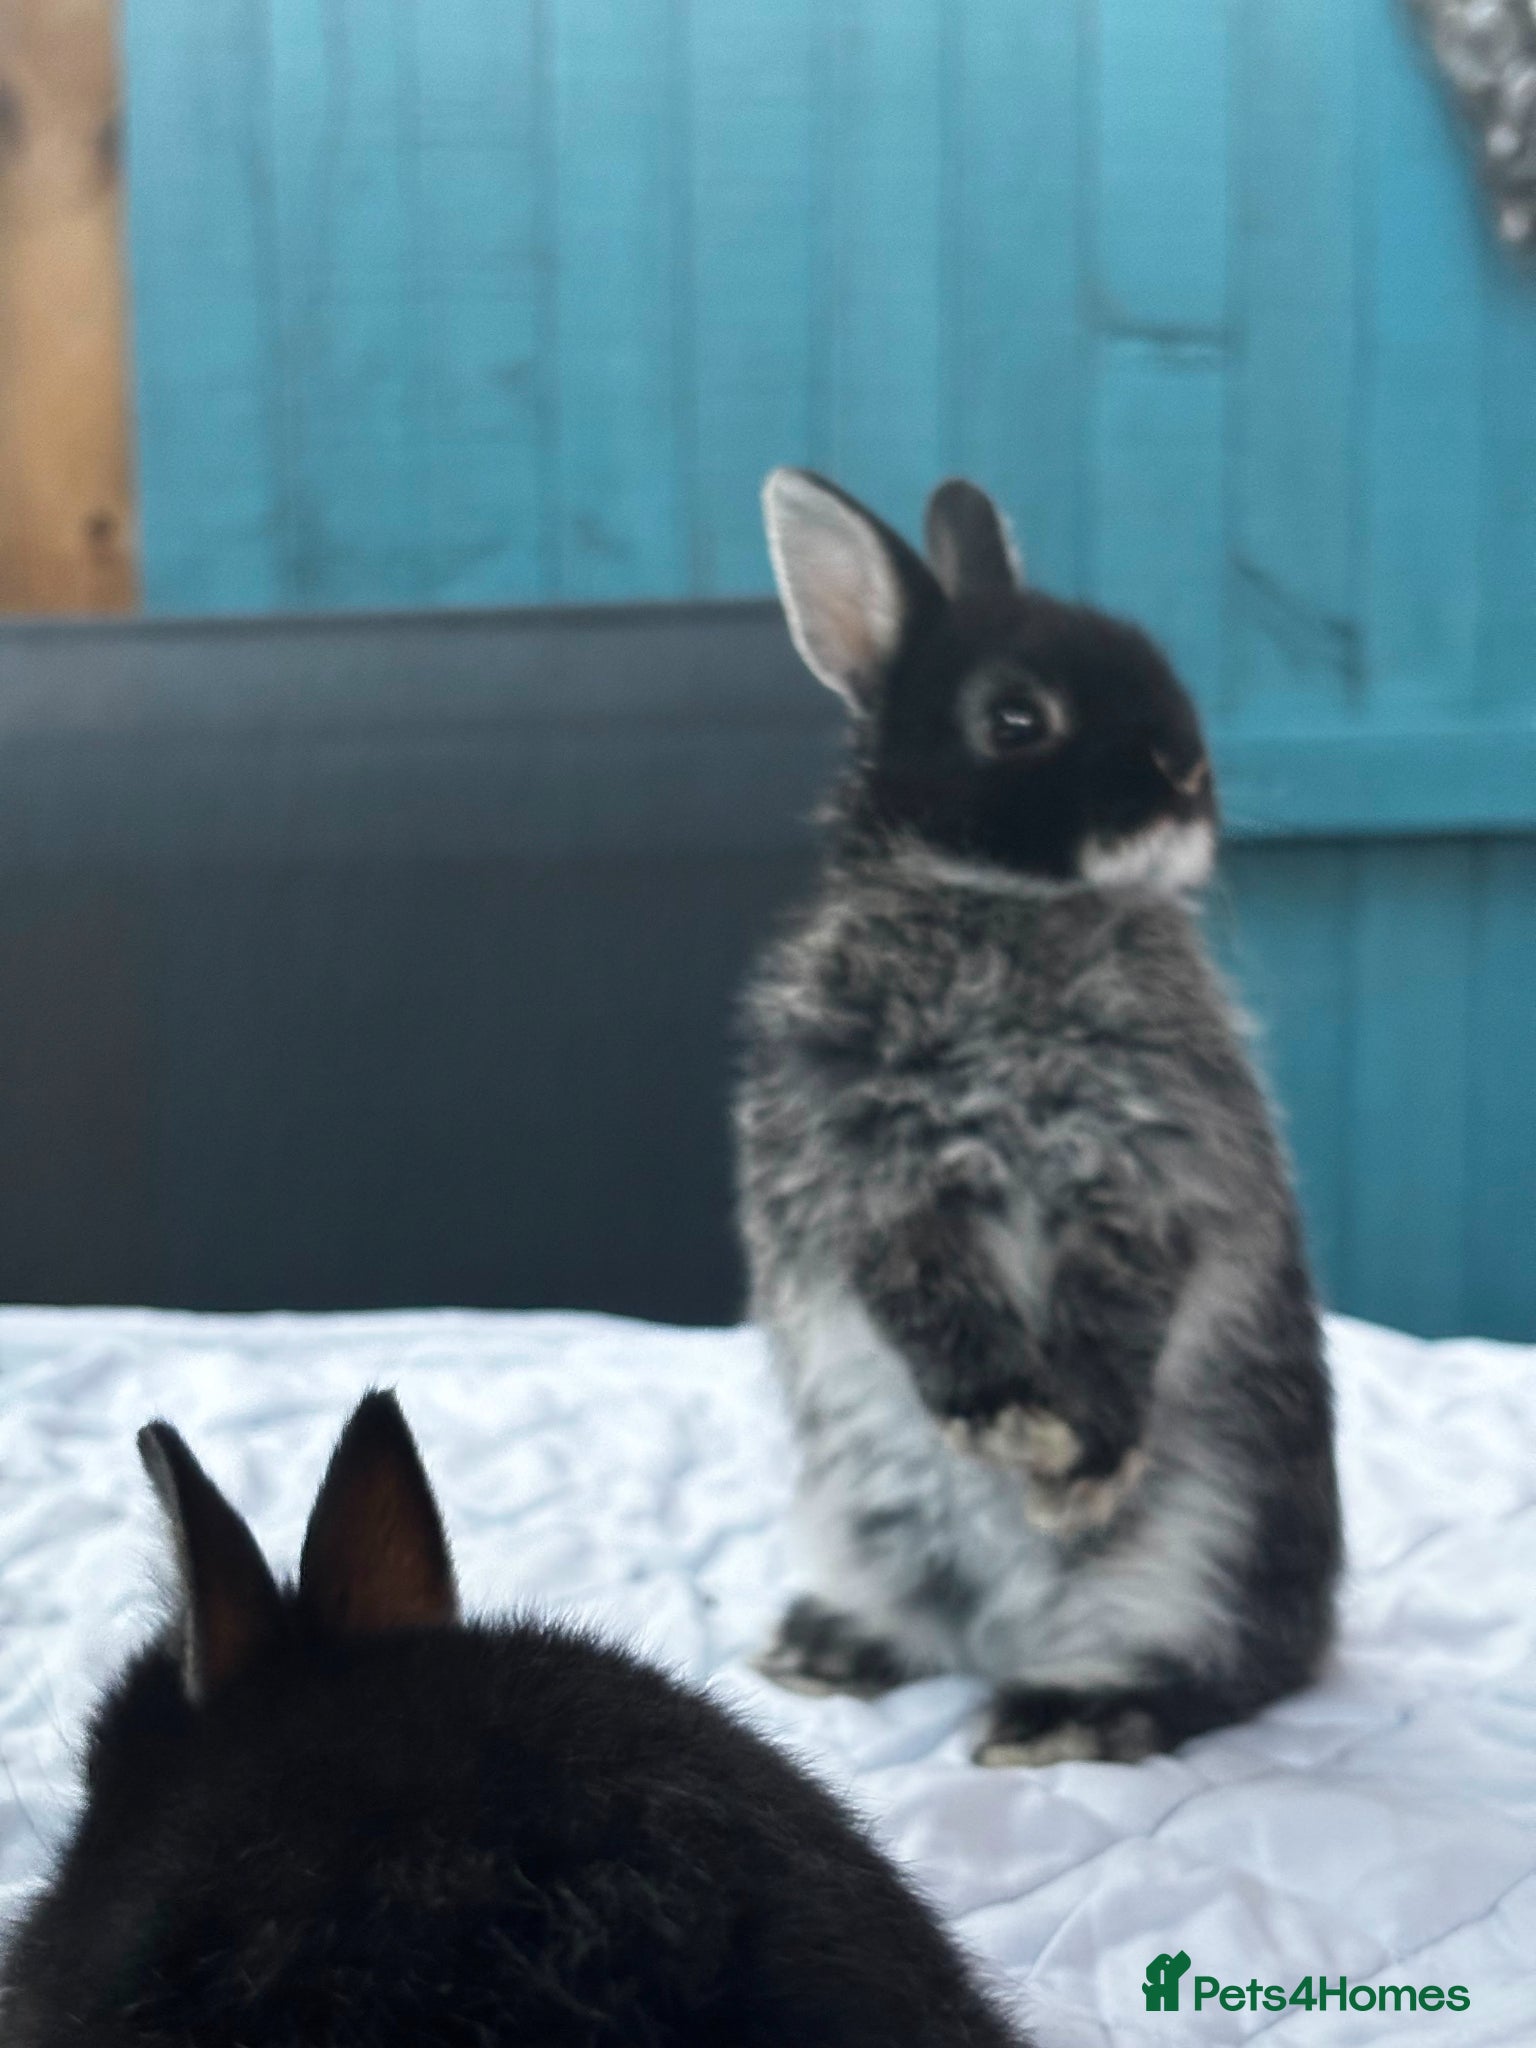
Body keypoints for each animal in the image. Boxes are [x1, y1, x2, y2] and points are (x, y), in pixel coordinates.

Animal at [735, 468, 1341, 1766]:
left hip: (1216, 1541)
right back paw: (824, 1651)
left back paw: (1062, 1713)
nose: (1184, 771)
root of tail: (1007, 1631)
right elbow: (927, 1300)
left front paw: (1073, 1463)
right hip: (861, 1523)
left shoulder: (1141, 1174)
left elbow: (1120, 1313)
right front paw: (1011, 1425)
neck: (1004, 909)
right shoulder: (874, 1181)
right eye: (1015, 721)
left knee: (1225, 1670)